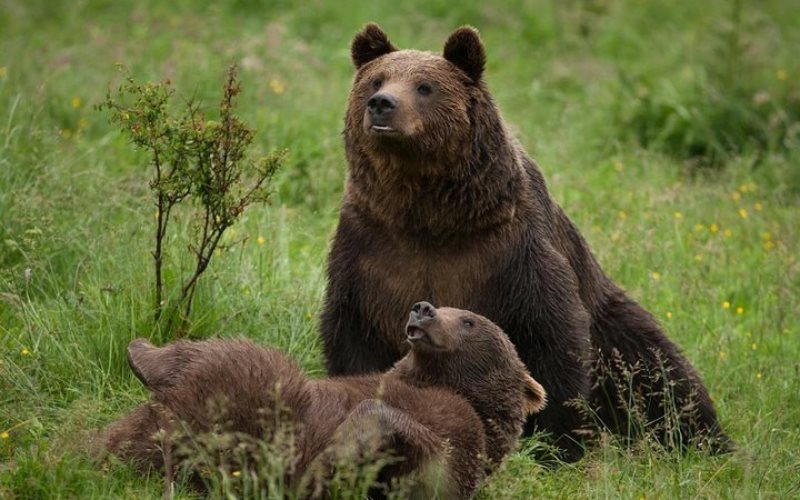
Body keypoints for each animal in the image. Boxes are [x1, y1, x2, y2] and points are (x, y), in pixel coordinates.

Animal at [103, 302, 548, 498]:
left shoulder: (464, 434)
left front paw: (335, 453)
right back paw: (141, 352)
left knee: (257, 368)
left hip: (262, 423)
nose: (424, 309)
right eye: (443, 303)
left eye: (468, 319)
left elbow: (430, 463)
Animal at [318, 23, 732, 460]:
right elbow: (353, 333)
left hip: (613, 324)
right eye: (376, 80)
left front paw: (557, 443)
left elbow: (550, 333)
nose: (382, 104)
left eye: (424, 86)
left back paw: (704, 441)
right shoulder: (370, 248)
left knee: (658, 371)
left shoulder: (511, 250)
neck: (430, 214)